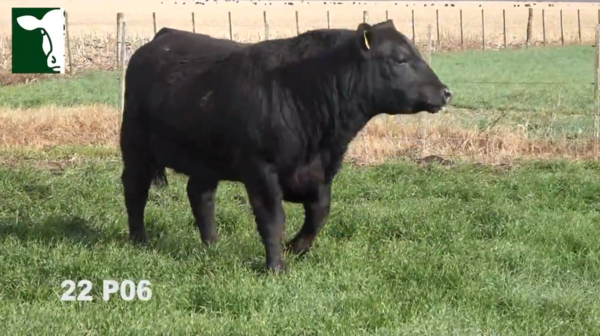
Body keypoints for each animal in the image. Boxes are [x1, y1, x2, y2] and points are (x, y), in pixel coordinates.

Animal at [120, 20, 450, 272]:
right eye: (400, 59)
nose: (445, 92)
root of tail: (162, 36)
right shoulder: (261, 170)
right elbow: (272, 218)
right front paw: (276, 266)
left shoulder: (322, 172)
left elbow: (319, 212)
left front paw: (296, 246)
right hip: (135, 146)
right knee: (135, 190)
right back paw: (139, 240)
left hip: (206, 160)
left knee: (200, 196)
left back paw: (212, 244)